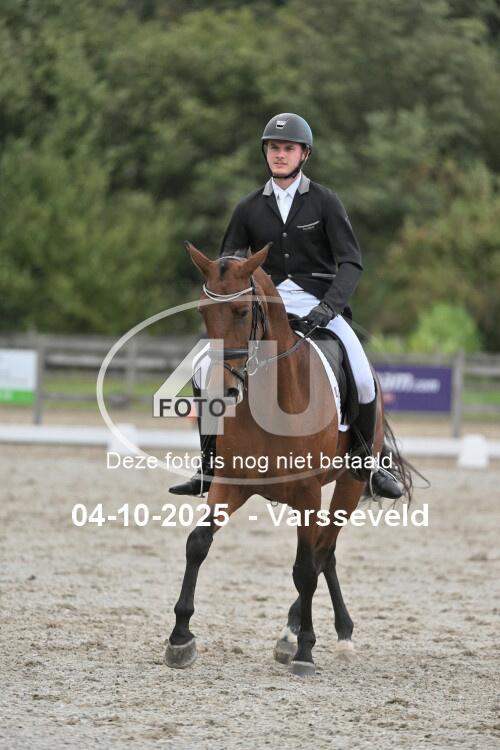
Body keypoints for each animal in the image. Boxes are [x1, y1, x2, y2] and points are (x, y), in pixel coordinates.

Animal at [165, 242, 413, 676]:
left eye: (242, 311)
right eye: (203, 312)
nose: (223, 390)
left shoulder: (307, 493)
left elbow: (304, 568)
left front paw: (305, 651)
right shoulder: (230, 485)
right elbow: (197, 543)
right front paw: (180, 637)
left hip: (348, 485)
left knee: (323, 551)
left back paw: (324, 635)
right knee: (325, 554)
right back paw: (304, 632)